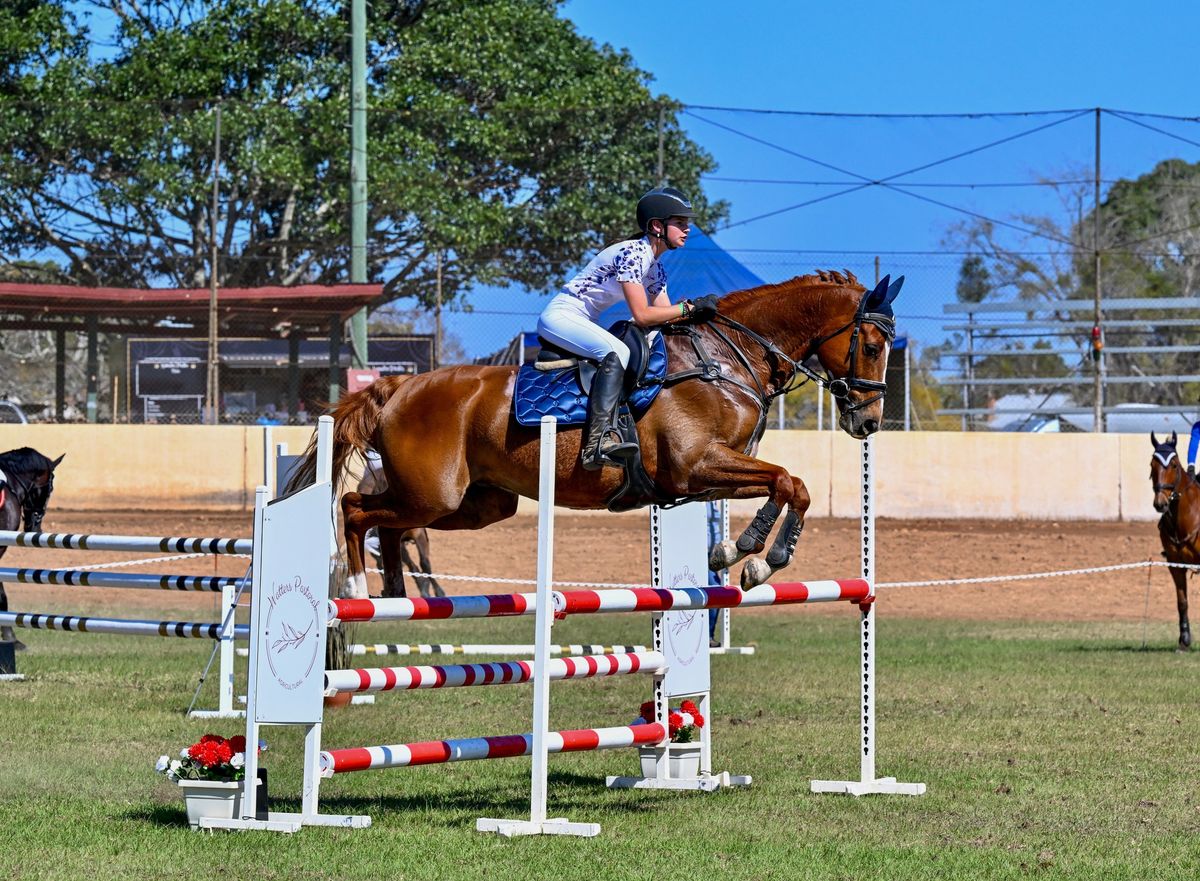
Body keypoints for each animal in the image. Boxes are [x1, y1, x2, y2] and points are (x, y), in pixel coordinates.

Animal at [285, 268, 897, 600]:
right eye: (871, 345)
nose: (868, 422)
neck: (725, 358)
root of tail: (399, 387)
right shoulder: (693, 465)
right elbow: (788, 482)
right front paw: (751, 555)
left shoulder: (703, 474)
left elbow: (788, 485)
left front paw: (739, 553)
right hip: (431, 493)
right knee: (354, 509)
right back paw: (357, 590)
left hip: (472, 504)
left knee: (387, 523)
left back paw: (390, 593)